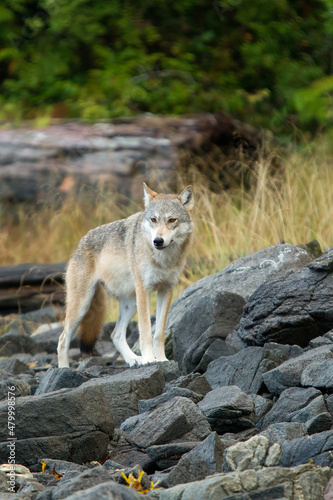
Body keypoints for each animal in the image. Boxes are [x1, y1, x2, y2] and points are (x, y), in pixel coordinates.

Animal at [56, 184, 192, 368]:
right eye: (153, 219)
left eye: (172, 220)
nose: (157, 241)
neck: (164, 260)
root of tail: (80, 242)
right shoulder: (144, 290)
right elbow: (145, 331)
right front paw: (149, 360)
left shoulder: (166, 290)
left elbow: (158, 333)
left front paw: (162, 359)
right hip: (82, 306)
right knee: (62, 339)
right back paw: (64, 369)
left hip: (131, 304)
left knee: (116, 335)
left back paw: (134, 359)